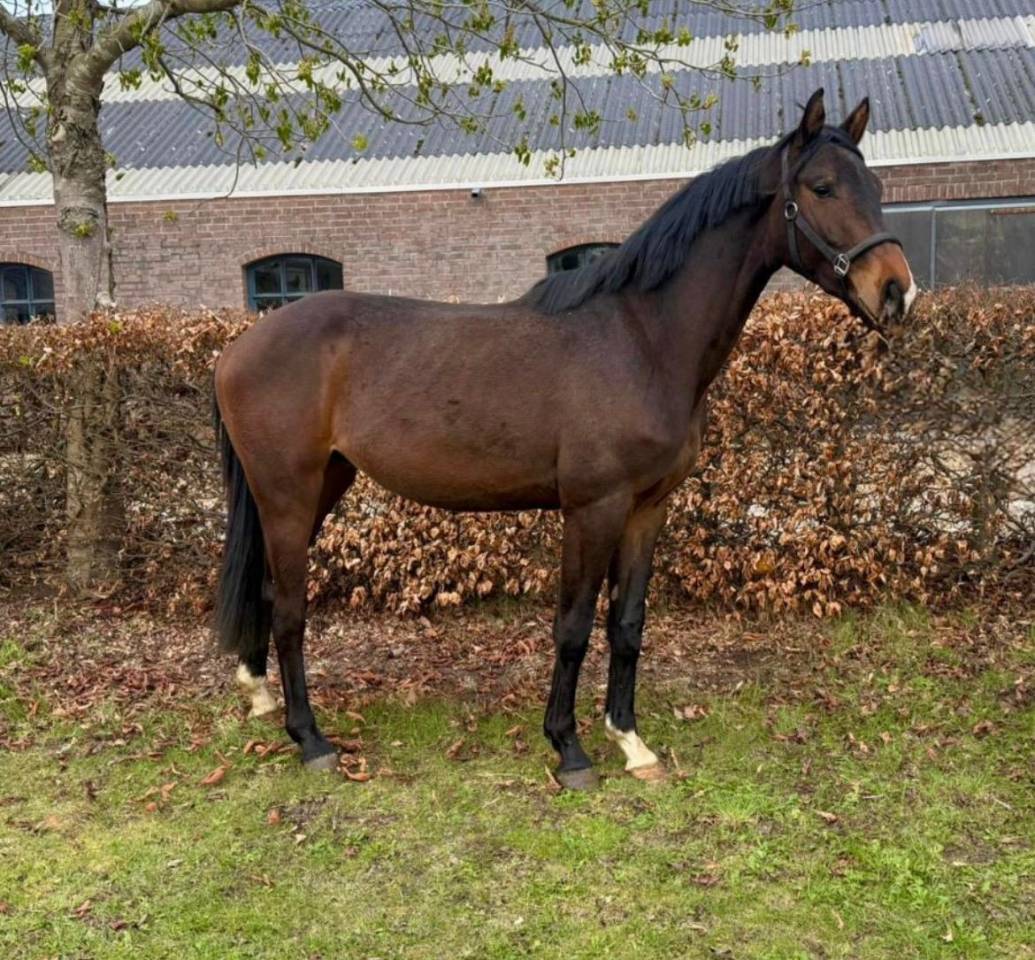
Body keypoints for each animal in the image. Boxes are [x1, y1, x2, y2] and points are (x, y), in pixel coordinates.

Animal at [213, 89, 917, 790]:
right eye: (822, 187)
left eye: (877, 186)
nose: (895, 291)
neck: (642, 338)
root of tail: (238, 348)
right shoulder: (593, 507)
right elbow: (574, 625)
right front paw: (568, 748)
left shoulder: (647, 508)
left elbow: (627, 623)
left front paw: (631, 741)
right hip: (288, 495)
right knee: (290, 608)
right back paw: (311, 738)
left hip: (322, 484)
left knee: (269, 591)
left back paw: (261, 695)